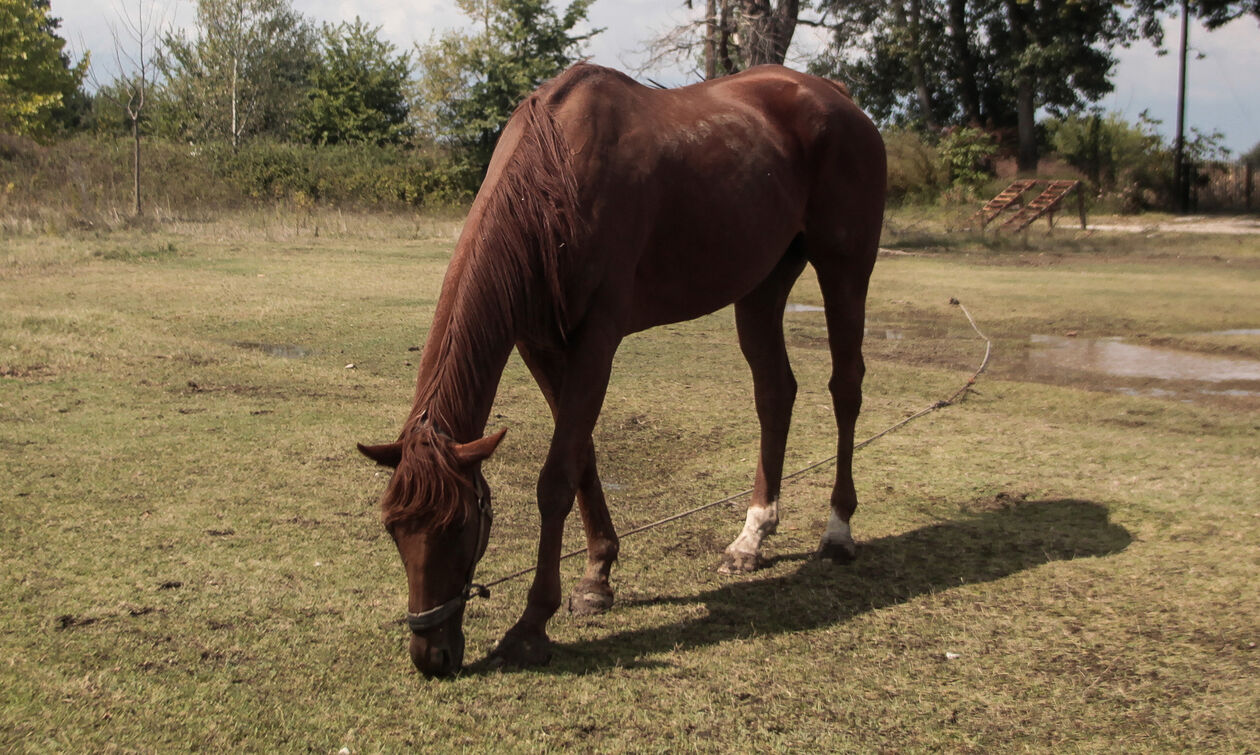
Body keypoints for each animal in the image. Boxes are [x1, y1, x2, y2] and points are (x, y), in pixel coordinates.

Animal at [355, 63, 887, 680]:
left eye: (461, 526)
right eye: (394, 529)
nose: (432, 656)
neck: (553, 177)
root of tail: (837, 96)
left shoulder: (597, 341)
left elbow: (556, 479)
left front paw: (532, 626)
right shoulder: (540, 344)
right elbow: (582, 460)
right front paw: (597, 577)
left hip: (845, 268)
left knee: (846, 388)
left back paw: (838, 530)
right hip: (761, 285)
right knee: (775, 393)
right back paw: (751, 539)